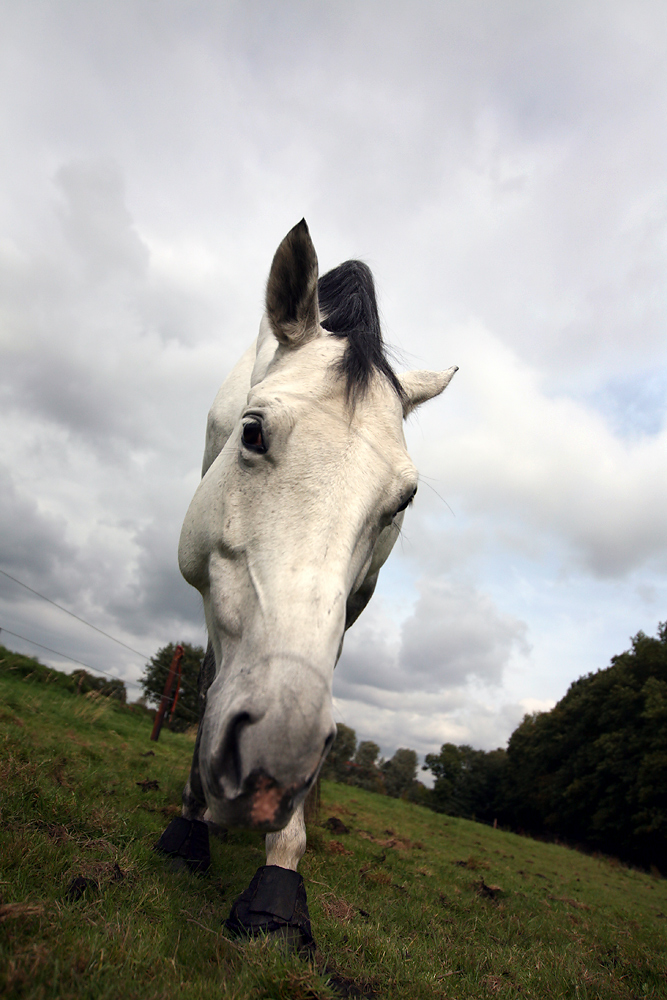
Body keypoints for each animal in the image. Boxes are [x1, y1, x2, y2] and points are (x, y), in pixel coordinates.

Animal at [155, 223, 460, 948]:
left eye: (403, 499)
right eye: (252, 432)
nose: (274, 763)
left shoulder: (348, 608)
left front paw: (278, 879)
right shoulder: (210, 583)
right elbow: (211, 680)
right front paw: (190, 823)